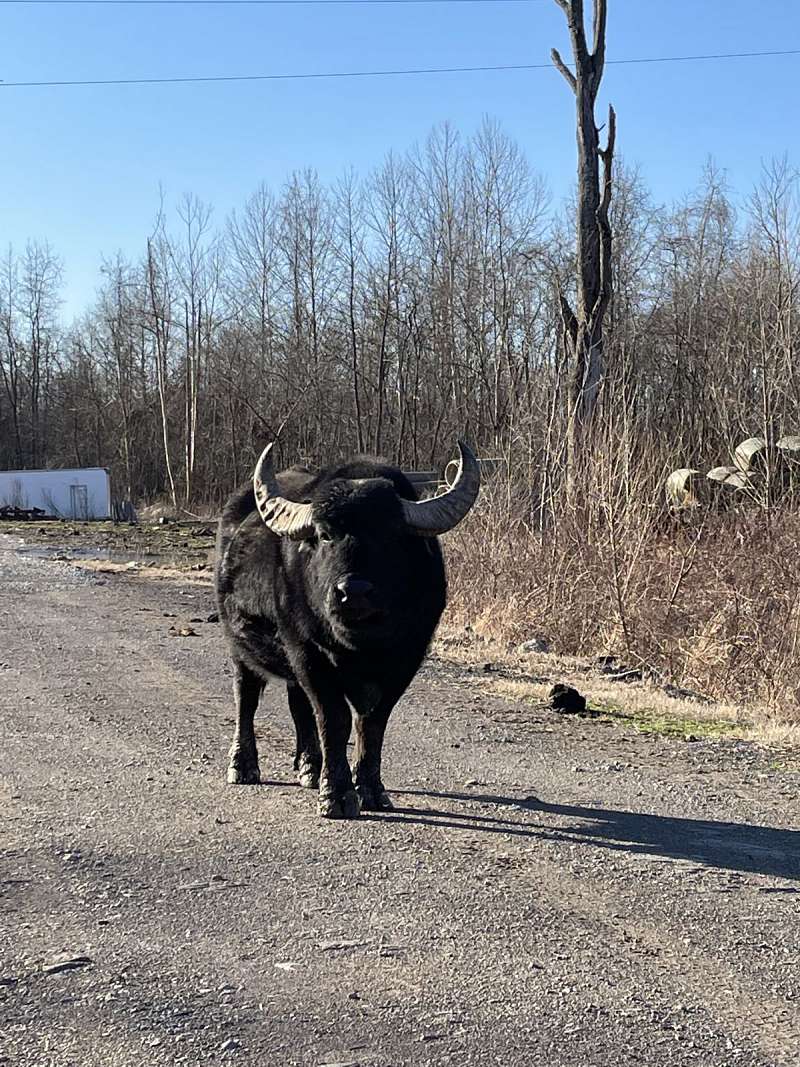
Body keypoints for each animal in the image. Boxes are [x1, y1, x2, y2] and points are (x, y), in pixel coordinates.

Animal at [214, 441, 480, 819]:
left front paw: (371, 789)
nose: (352, 592)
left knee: (298, 704)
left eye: (391, 536)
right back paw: (243, 766)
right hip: (240, 648)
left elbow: (373, 723)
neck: (362, 645)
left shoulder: (406, 661)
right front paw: (337, 794)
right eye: (326, 536)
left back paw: (310, 767)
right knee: (246, 698)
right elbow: (334, 719)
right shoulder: (308, 653)